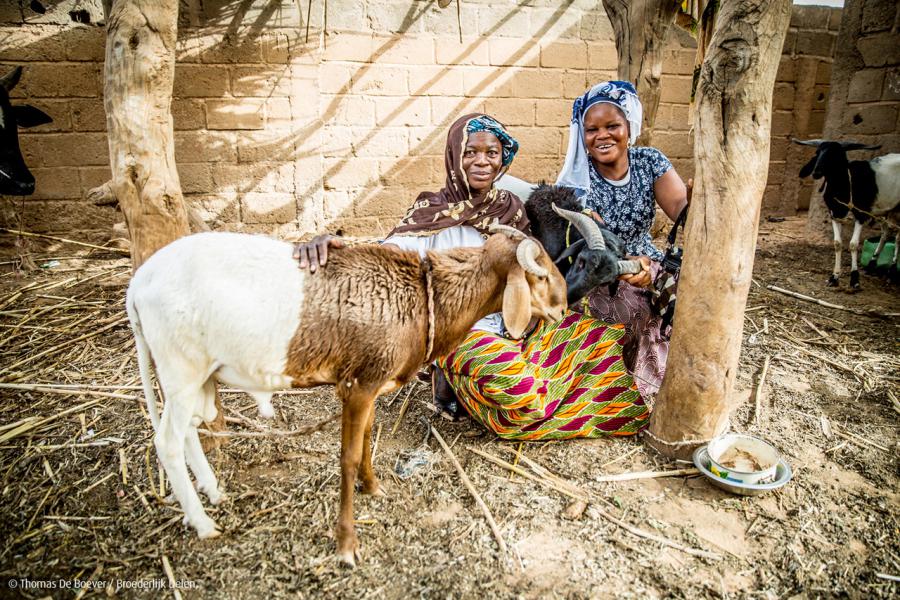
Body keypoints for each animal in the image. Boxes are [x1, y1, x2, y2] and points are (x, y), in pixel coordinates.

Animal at [125, 227, 564, 564]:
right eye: (540, 276)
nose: (563, 308)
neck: (424, 298)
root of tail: (138, 282)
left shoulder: (371, 385)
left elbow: (368, 440)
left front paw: (373, 487)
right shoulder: (357, 386)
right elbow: (349, 457)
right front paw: (346, 544)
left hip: (194, 377)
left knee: (187, 433)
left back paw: (214, 492)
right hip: (182, 369)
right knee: (168, 441)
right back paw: (202, 523)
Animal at [796, 139, 900, 288]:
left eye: (835, 155)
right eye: (817, 153)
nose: (816, 172)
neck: (844, 184)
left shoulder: (861, 215)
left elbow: (853, 244)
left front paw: (854, 278)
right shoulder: (835, 214)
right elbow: (837, 243)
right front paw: (834, 277)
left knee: (897, 237)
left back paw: (891, 272)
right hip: (885, 209)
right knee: (886, 233)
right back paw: (872, 264)